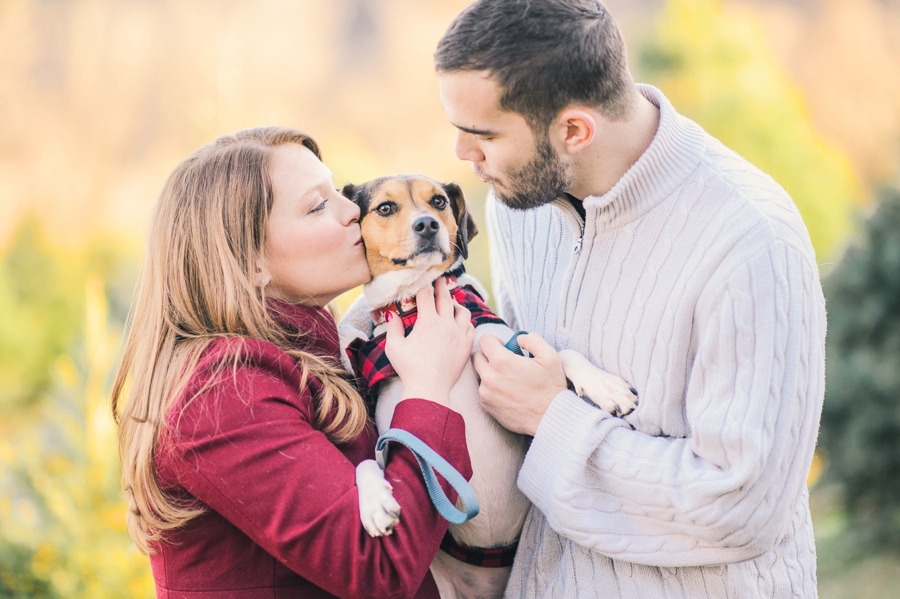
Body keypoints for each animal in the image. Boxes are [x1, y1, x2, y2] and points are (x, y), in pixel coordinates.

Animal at [338, 175, 640, 599]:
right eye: (385, 208)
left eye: (438, 201)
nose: (427, 224)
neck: (417, 306)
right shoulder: (397, 439)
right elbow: (366, 461)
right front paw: (375, 503)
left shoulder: (504, 347)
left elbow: (558, 352)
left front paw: (605, 386)